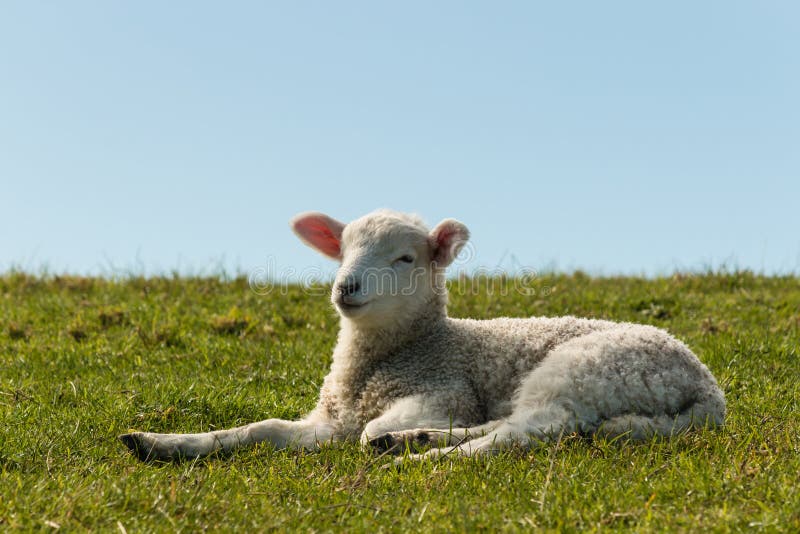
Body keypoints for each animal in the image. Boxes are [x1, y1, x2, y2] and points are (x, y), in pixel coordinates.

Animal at [119, 210, 724, 464]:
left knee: (526, 433)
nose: (345, 286)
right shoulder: (330, 418)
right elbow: (258, 430)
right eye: (341, 249)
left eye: (406, 258)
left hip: (584, 372)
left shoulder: (443, 389)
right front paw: (164, 443)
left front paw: (384, 439)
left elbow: (368, 431)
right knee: (508, 425)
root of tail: (708, 389)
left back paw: (416, 460)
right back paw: (417, 442)